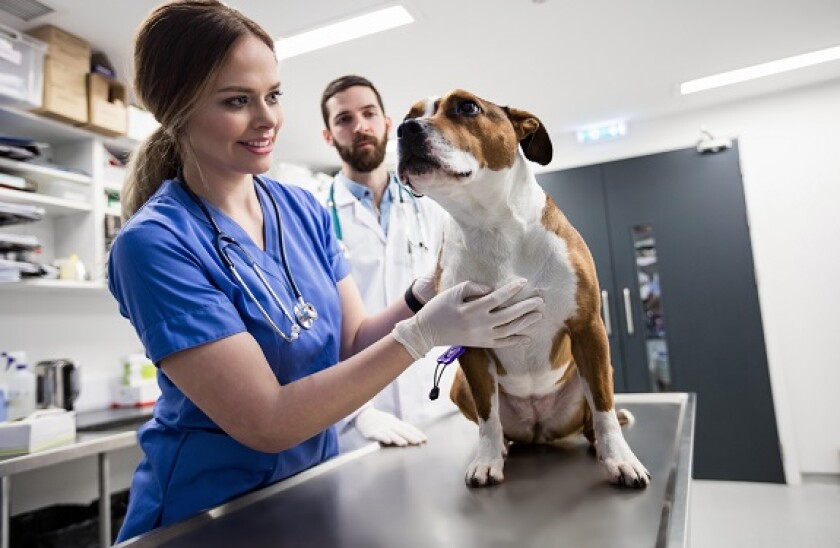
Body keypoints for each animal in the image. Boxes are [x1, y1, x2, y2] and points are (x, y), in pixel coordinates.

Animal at [396, 90, 648, 488]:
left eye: (467, 106)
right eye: (409, 116)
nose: (406, 130)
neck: (491, 225)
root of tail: (539, 428)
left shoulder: (588, 326)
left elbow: (604, 407)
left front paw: (621, 458)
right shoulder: (471, 341)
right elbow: (487, 415)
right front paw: (487, 459)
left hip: (592, 368)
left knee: (594, 412)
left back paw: (597, 442)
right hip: (459, 385)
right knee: (495, 421)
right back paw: (502, 446)